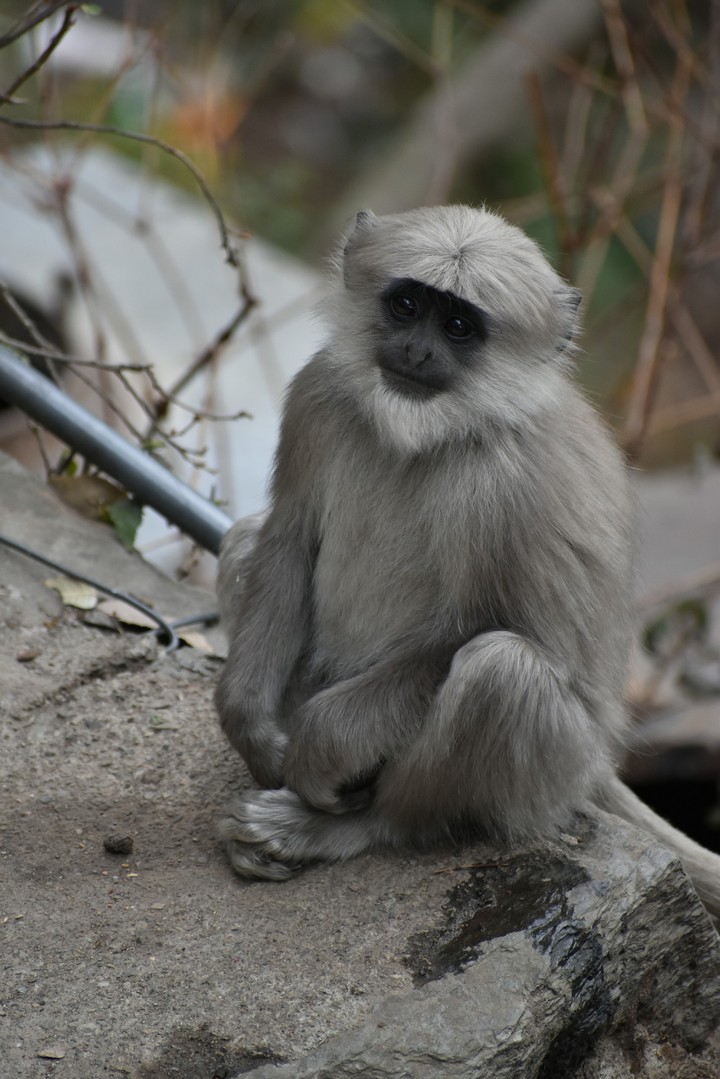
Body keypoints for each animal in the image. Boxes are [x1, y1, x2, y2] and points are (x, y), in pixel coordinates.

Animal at [214, 204, 720, 916]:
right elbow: (287, 537)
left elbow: (479, 631)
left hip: (553, 771)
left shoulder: (508, 477)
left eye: (458, 327)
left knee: (500, 670)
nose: (417, 351)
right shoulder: (319, 390)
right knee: (246, 540)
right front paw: (255, 732)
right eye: (406, 306)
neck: (431, 430)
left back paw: (353, 826)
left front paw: (318, 747)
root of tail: (597, 763)